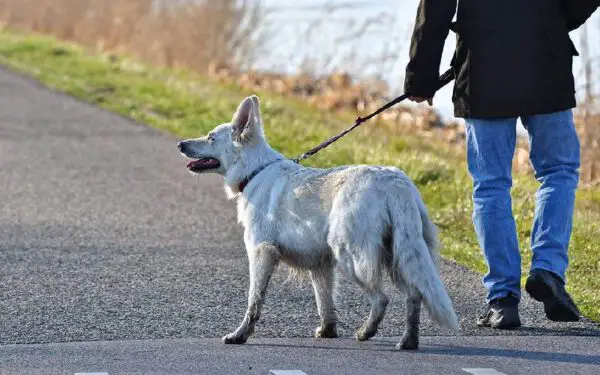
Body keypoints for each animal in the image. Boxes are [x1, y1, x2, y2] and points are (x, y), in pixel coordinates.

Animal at [178, 96, 460, 350]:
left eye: (211, 137)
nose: (180, 144)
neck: (255, 171)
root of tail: (395, 182)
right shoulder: (320, 265)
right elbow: (325, 302)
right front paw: (328, 331)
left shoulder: (261, 253)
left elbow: (254, 301)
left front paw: (240, 335)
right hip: (398, 255)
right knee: (414, 295)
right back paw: (408, 341)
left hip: (352, 257)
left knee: (382, 298)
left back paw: (366, 332)